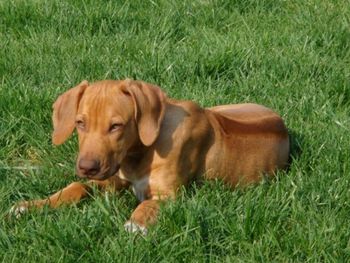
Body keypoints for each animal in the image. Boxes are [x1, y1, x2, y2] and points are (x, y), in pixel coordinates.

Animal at [10, 79, 290, 234]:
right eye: (80, 123)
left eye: (116, 126)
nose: (87, 167)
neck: (138, 153)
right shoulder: (113, 177)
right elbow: (77, 186)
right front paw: (31, 205)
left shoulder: (171, 195)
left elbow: (148, 203)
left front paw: (135, 224)